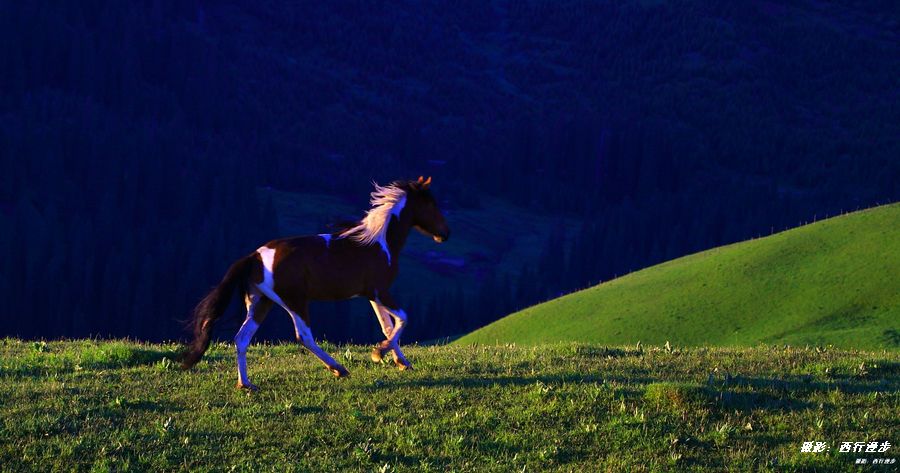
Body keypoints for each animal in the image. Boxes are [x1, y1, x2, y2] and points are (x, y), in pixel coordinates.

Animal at [179, 175, 450, 390]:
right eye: (431, 204)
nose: (445, 234)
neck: (379, 244)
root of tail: (254, 256)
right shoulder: (380, 291)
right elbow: (403, 318)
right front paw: (378, 353)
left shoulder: (371, 295)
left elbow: (387, 326)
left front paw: (401, 361)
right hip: (294, 301)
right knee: (304, 336)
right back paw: (338, 368)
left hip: (261, 302)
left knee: (242, 338)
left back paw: (246, 384)